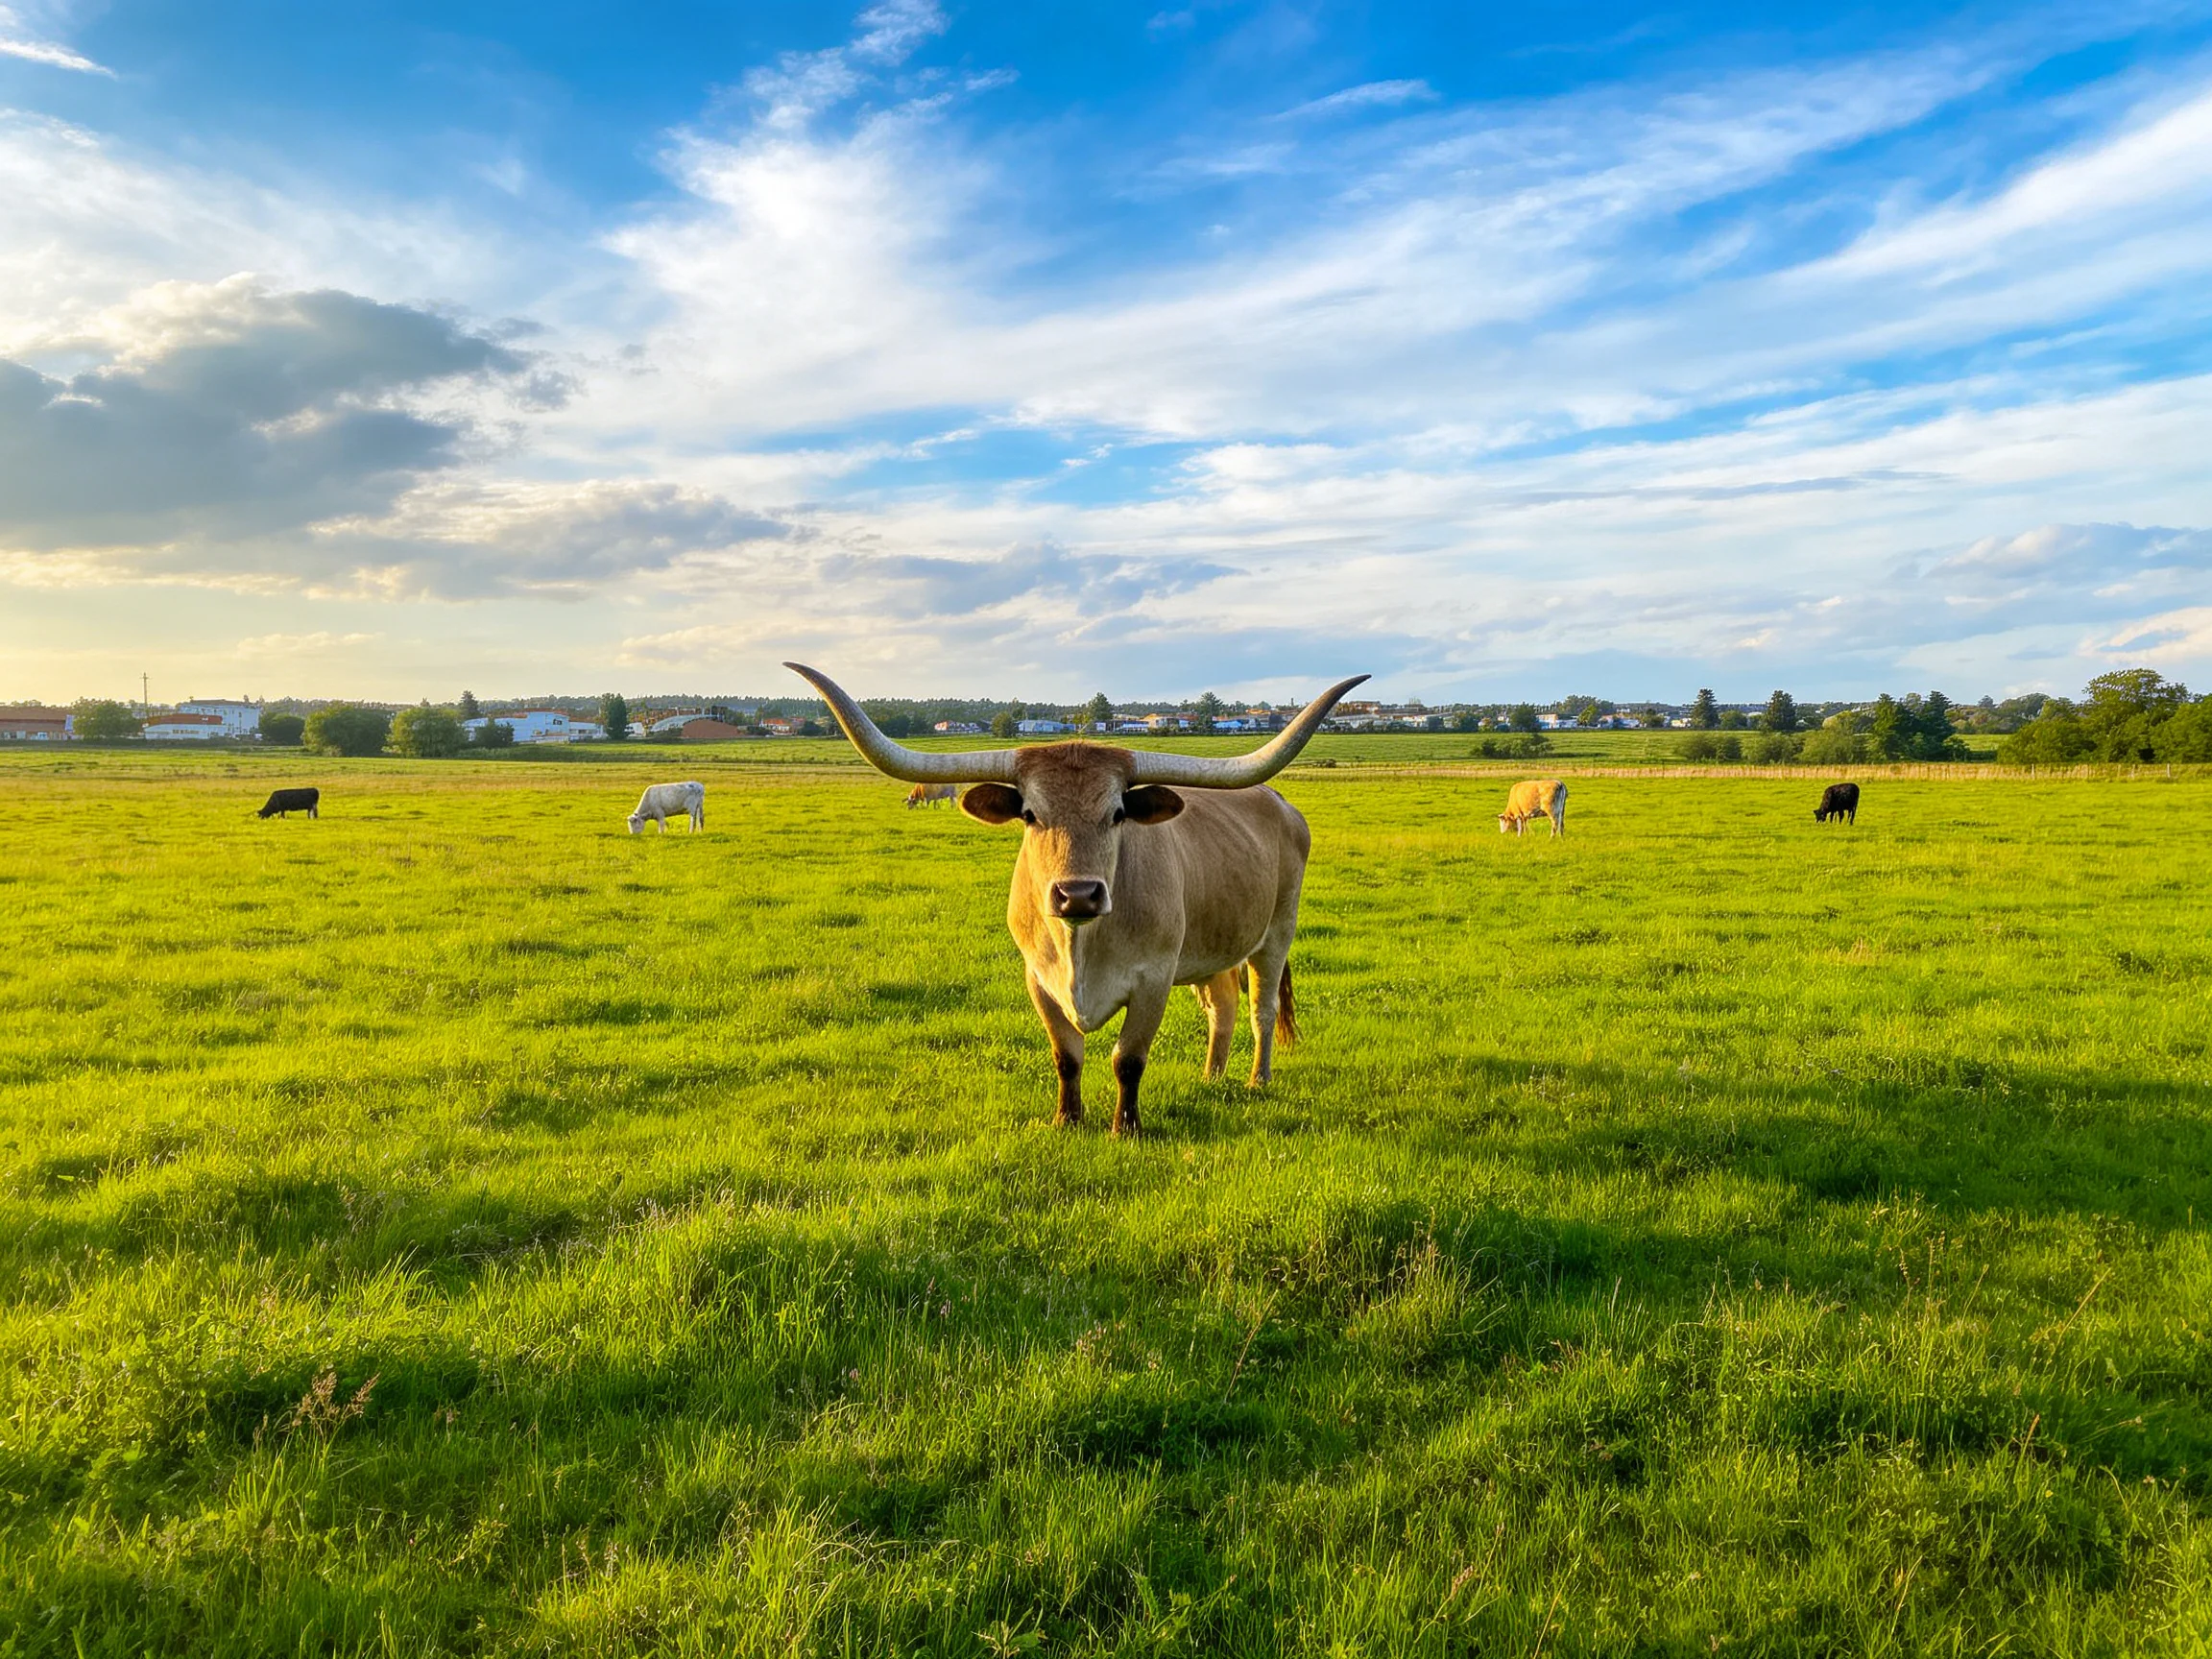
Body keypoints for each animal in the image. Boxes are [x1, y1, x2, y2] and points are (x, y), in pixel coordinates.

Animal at [788, 662, 1368, 1137]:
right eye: (1029, 814)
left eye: (1118, 813)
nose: (1078, 894)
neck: (1081, 945)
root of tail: (1279, 801)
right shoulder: (1037, 979)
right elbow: (1065, 1055)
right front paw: (1067, 1120)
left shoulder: (1154, 978)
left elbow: (1128, 1059)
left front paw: (1125, 1128)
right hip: (1211, 948)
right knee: (1221, 1006)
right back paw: (1212, 1078)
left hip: (1277, 934)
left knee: (1261, 1009)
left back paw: (1256, 1080)